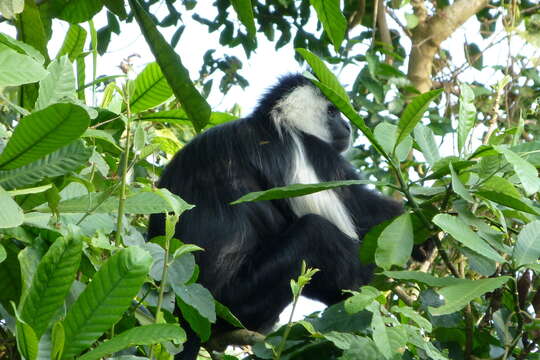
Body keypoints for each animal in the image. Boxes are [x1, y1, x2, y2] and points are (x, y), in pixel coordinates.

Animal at [149, 74, 404, 358]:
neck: (271, 122)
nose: (348, 127)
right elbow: (360, 211)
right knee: (316, 232)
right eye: (332, 111)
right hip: (241, 299)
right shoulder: (305, 149)